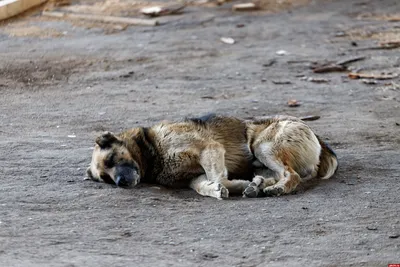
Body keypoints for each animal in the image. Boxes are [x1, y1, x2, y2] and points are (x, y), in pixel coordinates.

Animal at [86, 114, 336, 200]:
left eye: (111, 160)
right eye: (106, 178)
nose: (120, 182)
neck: (153, 151)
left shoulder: (209, 148)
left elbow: (217, 176)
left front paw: (226, 186)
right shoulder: (192, 176)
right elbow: (202, 185)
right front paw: (225, 188)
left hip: (263, 147)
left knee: (292, 175)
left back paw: (276, 188)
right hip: (261, 160)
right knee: (278, 174)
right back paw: (258, 184)